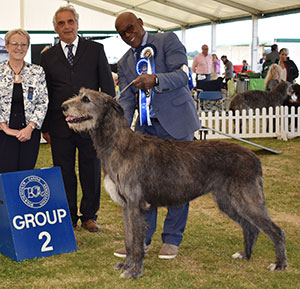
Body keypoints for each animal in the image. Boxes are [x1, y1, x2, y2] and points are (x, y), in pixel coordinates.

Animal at [61, 88, 288, 276]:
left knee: (275, 230)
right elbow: (129, 240)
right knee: (251, 227)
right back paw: (245, 254)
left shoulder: (135, 205)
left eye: (86, 99)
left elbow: (136, 242)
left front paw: (134, 271)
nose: (63, 106)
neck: (118, 144)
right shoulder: (125, 206)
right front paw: (126, 264)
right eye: (79, 94)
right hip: (227, 201)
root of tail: (253, 157)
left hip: (247, 198)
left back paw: (279, 264)